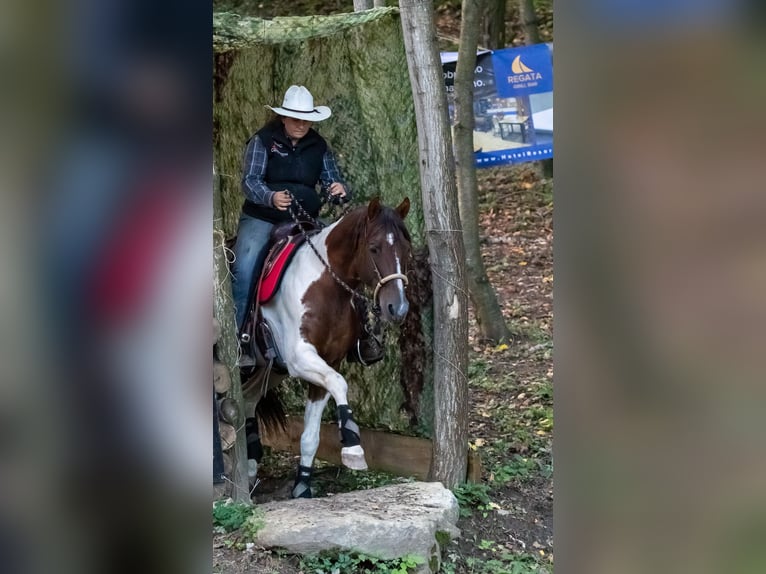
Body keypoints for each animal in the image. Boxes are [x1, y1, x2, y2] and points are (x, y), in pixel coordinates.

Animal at [241, 196, 412, 498]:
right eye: (374, 247)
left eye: (405, 248)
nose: (398, 308)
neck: (326, 284)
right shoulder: (301, 357)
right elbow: (340, 383)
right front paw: (353, 446)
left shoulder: (328, 360)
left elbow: (311, 434)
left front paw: (302, 485)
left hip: (268, 369)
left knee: (248, 400)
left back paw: (250, 469)